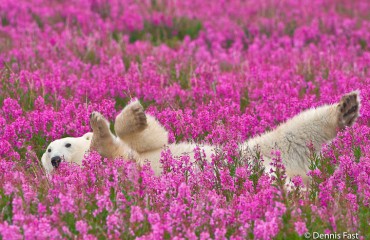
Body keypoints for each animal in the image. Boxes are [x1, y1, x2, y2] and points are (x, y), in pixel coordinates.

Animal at [42, 91, 360, 183]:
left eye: (65, 143)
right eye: (47, 151)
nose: (56, 159)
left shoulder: (145, 150)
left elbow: (153, 139)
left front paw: (132, 114)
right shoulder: (123, 169)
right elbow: (112, 151)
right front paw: (99, 129)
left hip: (262, 148)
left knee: (297, 129)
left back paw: (346, 108)